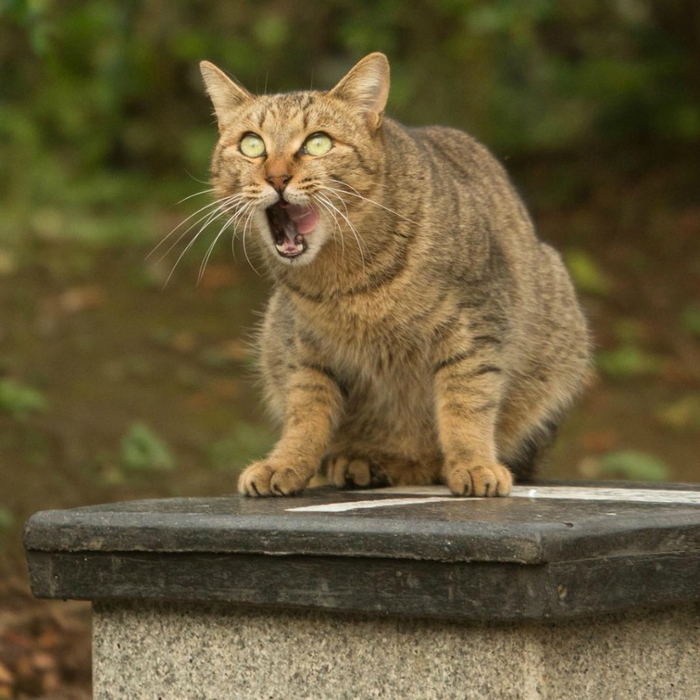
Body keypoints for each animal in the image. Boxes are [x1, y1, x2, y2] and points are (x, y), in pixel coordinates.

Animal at [201, 52, 592, 498]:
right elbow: (305, 414)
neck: (344, 281)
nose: (277, 177)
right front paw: (286, 462)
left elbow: (466, 405)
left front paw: (473, 463)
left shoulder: (477, 328)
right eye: (252, 144)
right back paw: (362, 461)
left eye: (318, 142)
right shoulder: (306, 348)